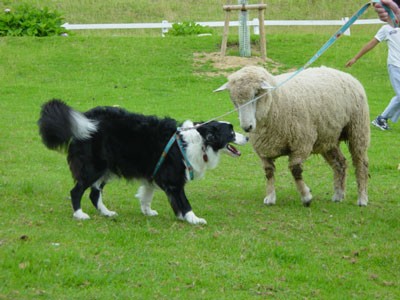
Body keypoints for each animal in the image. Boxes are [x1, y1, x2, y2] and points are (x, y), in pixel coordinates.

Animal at [38, 99, 247, 224]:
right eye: (230, 132)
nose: (247, 137)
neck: (199, 140)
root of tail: (85, 119)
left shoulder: (154, 174)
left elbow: (147, 195)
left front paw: (149, 211)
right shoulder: (174, 179)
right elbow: (184, 201)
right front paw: (193, 219)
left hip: (106, 168)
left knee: (94, 193)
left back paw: (106, 212)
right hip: (93, 167)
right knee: (77, 191)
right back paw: (79, 214)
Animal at [216, 65, 368, 206]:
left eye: (256, 95)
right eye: (234, 100)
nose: (247, 127)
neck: (276, 103)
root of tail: (340, 71)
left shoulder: (301, 144)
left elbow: (295, 170)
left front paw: (306, 197)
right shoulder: (263, 150)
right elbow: (268, 172)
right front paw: (270, 197)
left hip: (358, 129)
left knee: (361, 163)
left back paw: (362, 198)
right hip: (327, 138)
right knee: (340, 163)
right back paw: (338, 195)